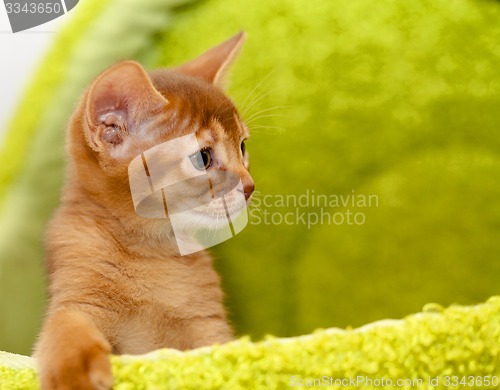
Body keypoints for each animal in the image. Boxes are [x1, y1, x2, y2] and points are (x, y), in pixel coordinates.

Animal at [35, 32, 254, 388]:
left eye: (242, 147)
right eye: (203, 158)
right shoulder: (79, 295)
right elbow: (66, 324)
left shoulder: (208, 326)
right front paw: (74, 370)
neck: (152, 252)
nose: (249, 186)